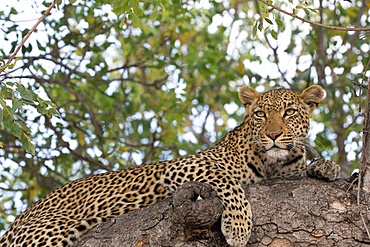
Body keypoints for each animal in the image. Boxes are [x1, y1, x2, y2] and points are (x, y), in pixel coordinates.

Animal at [0, 85, 342, 247]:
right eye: (260, 114)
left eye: (289, 113)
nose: (272, 135)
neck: (272, 163)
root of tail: (17, 221)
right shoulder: (184, 167)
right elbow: (228, 182)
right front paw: (238, 226)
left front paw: (326, 166)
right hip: (47, 233)